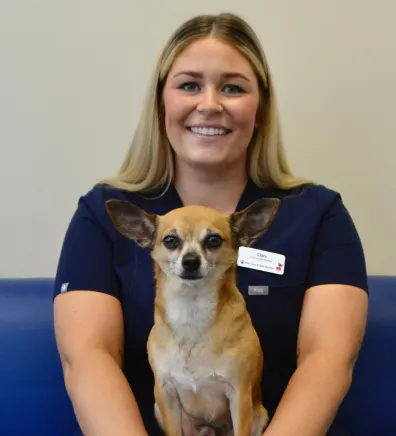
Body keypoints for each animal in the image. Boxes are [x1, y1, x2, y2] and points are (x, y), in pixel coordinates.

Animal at [105, 198, 278, 436]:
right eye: (170, 240)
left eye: (214, 240)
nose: (190, 261)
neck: (191, 310)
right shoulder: (165, 394)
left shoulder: (239, 396)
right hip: (161, 410)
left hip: (258, 415)